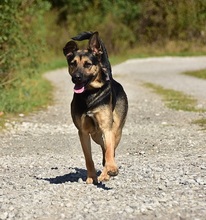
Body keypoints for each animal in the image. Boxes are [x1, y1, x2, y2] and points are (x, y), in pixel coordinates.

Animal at [63, 31, 127, 185]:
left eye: (88, 64)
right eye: (73, 64)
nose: (76, 77)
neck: (89, 94)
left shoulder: (107, 129)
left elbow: (109, 152)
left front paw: (111, 170)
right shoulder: (83, 132)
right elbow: (88, 158)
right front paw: (92, 177)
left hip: (116, 131)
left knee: (110, 150)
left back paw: (107, 172)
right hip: (95, 135)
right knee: (103, 148)